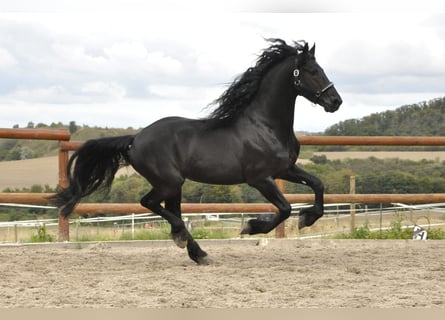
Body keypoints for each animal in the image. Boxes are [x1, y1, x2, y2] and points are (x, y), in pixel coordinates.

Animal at [51, 38, 340, 264]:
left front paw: (308, 218)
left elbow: (318, 185)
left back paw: (195, 251)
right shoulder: (260, 179)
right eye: (312, 71)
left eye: (321, 69)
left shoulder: (286, 169)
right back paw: (189, 243)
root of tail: (137, 138)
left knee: (170, 210)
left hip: (173, 185)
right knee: (150, 204)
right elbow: (285, 208)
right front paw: (251, 227)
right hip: (169, 181)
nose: (335, 101)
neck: (265, 125)